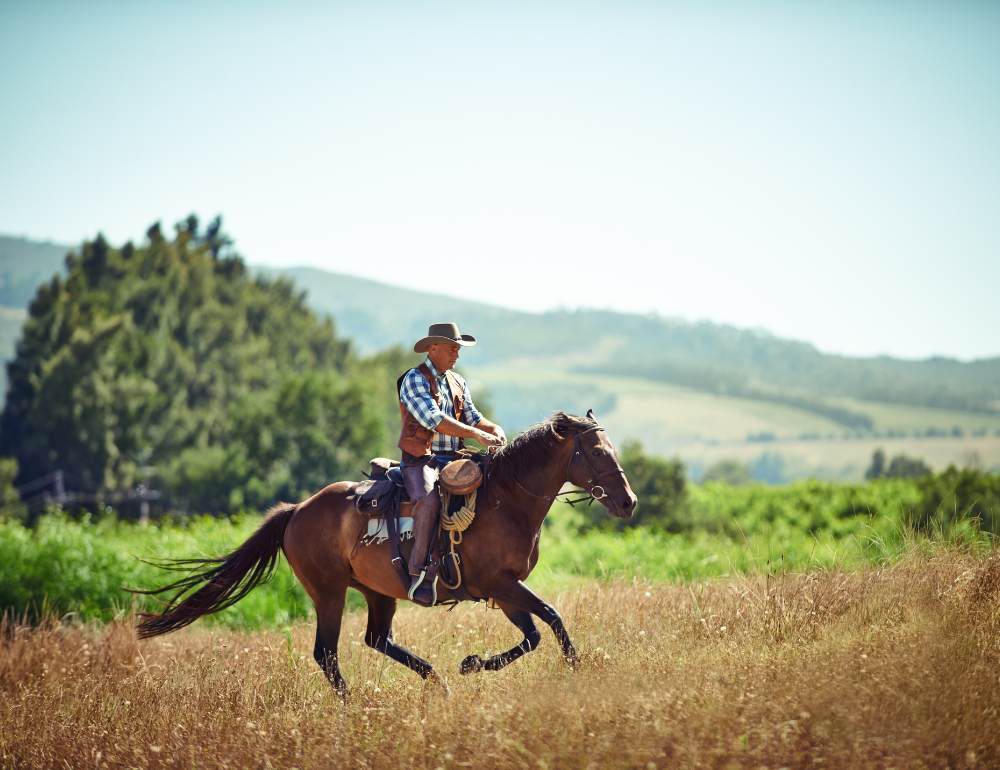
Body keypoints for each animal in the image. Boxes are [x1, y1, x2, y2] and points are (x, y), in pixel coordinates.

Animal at [133, 414, 636, 688]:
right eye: (596, 451)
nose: (628, 501)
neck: (505, 501)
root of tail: (296, 511)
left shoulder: (503, 589)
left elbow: (533, 634)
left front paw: (471, 664)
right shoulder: (502, 584)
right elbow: (552, 618)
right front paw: (575, 673)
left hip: (377, 592)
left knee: (377, 640)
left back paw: (437, 683)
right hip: (329, 592)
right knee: (327, 654)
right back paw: (354, 707)